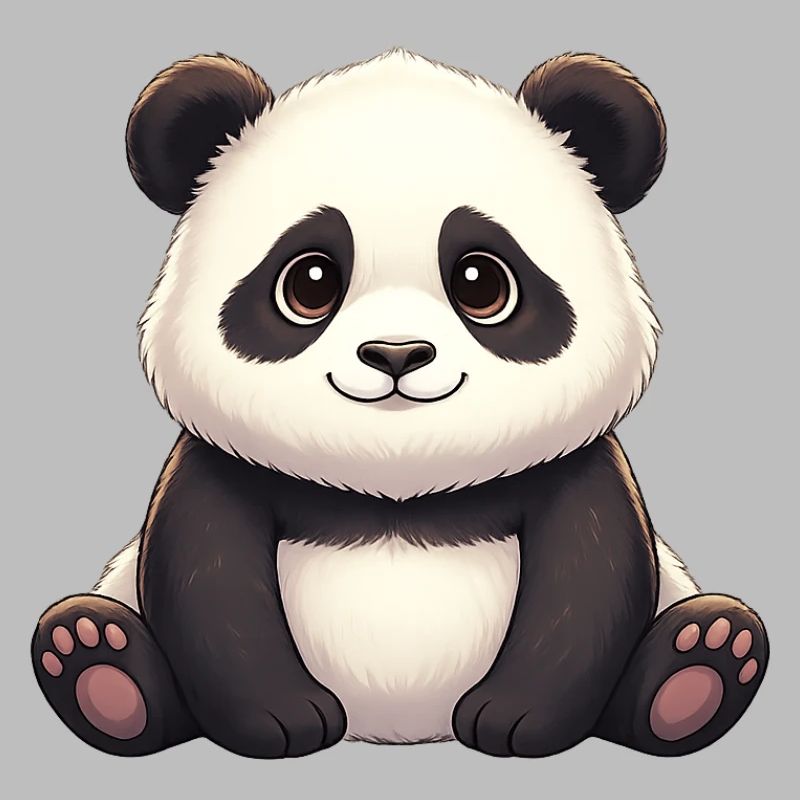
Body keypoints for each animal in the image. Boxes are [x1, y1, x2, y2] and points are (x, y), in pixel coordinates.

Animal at [32, 48, 768, 758]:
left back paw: (699, 666)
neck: (397, 476)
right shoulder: (219, 462)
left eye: (482, 282)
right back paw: (99, 666)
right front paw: (282, 719)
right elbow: (207, 581)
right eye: (309, 282)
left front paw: (516, 720)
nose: (396, 354)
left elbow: (590, 581)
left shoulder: (577, 464)